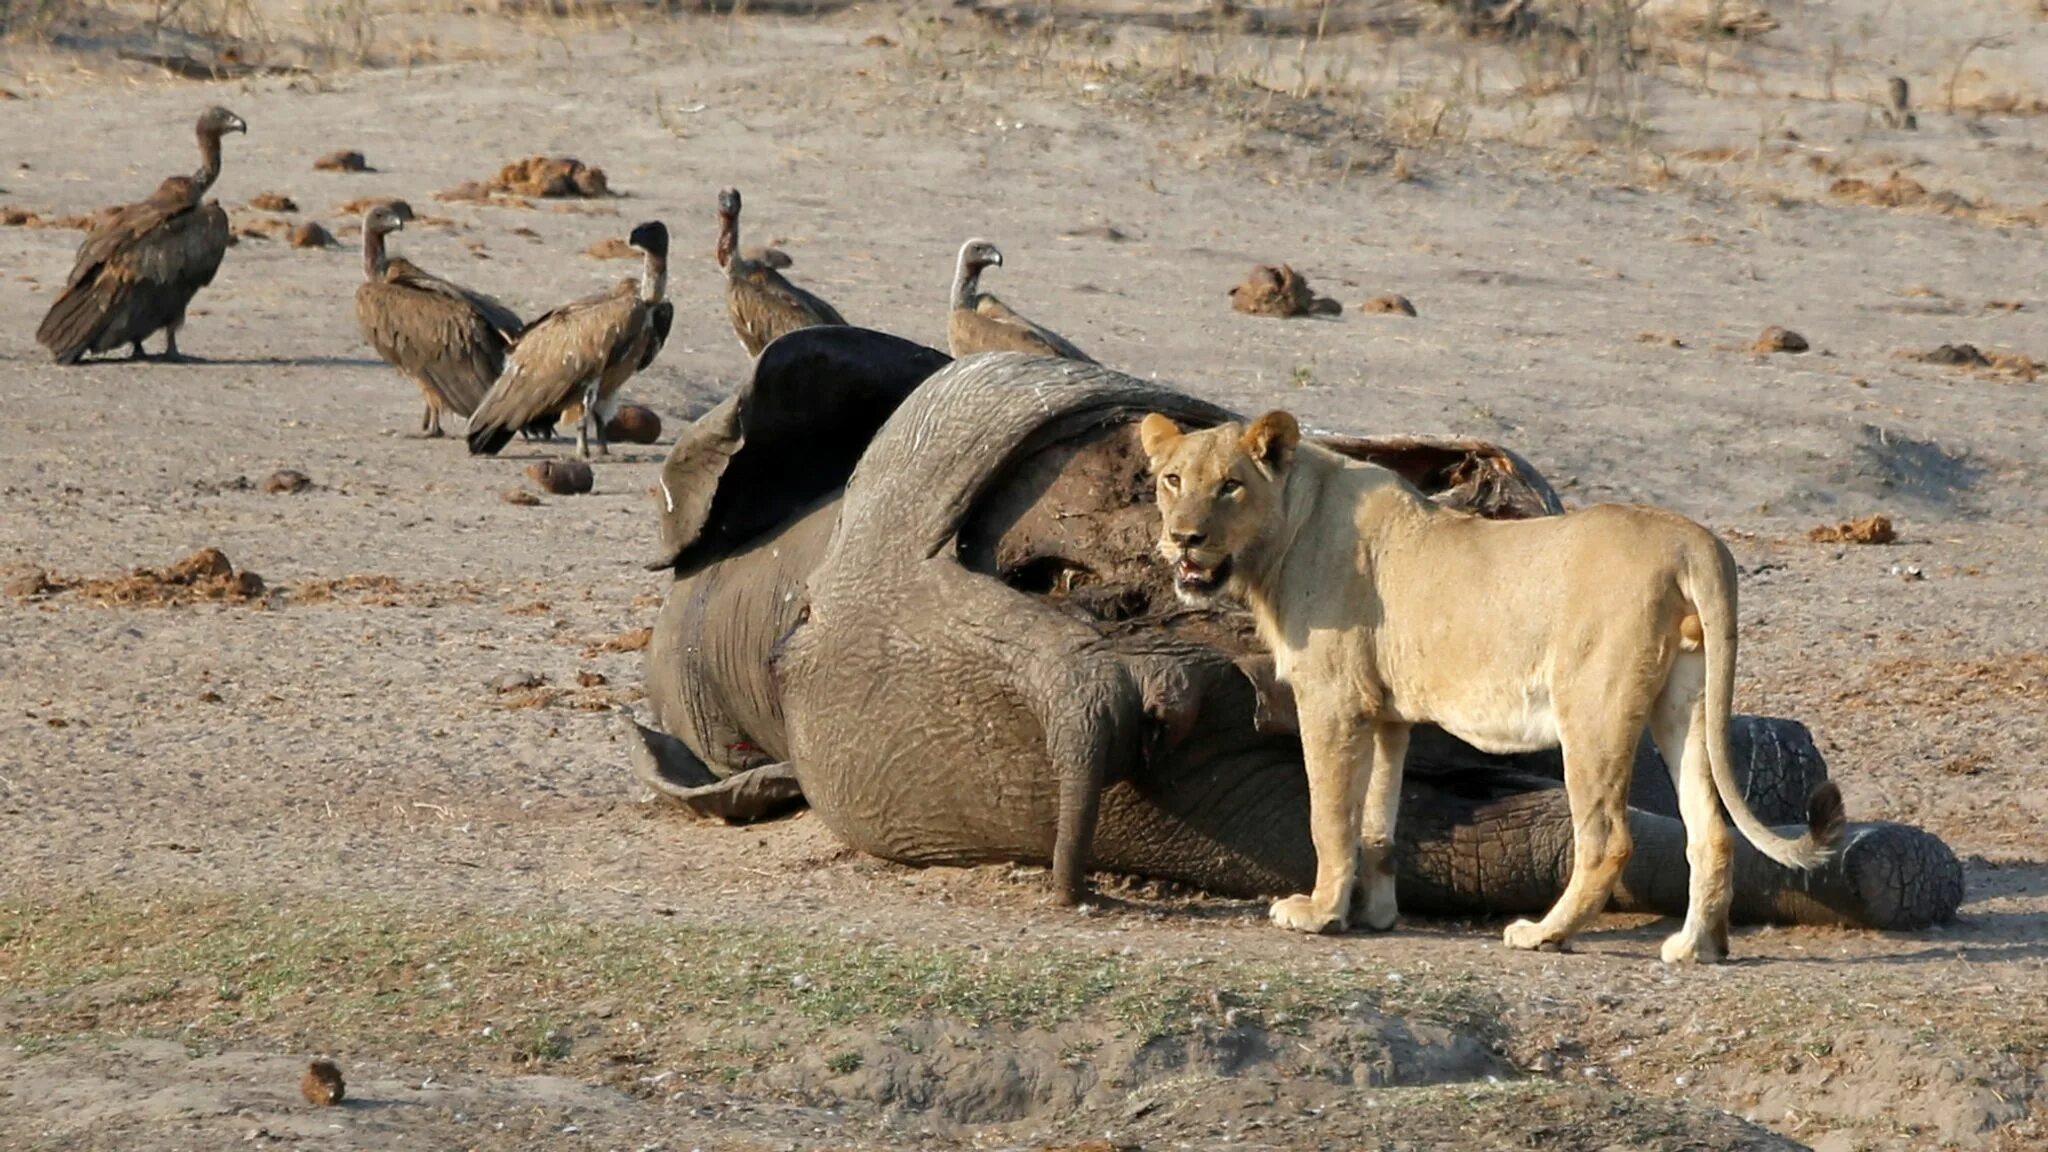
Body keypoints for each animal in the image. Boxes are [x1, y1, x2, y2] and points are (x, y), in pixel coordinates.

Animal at [1146, 407, 1851, 955]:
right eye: (1172, 480)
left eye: (1231, 486)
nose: (1184, 539)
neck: (1290, 526)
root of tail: (1692, 538)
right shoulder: (1386, 715)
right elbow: (1376, 819)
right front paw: (1373, 916)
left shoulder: (1331, 701)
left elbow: (1329, 815)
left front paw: (1318, 914)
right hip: (1681, 704)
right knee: (1710, 829)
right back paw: (1695, 946)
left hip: (1590, 709)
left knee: (1607, 838)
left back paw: (1545, 933)